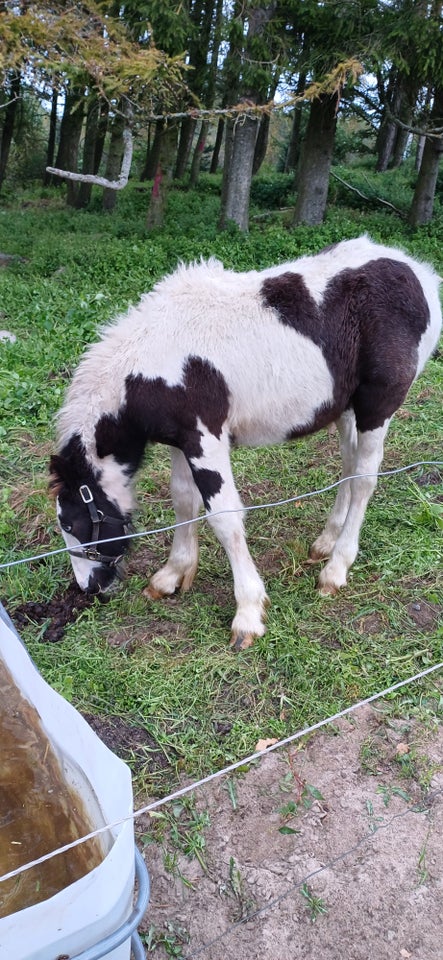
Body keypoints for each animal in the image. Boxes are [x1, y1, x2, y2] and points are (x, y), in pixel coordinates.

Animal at [50, 236, 442, 648]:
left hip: (376, 406)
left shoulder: (206, 439)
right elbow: (183, 500)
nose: (90, 587)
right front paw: (172, 575)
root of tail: (420, 273)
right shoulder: (181, 440)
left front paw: (248, 613)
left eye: (74, 524)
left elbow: (223, 517)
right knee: (349, 469)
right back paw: (326, 542)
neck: (150, 363)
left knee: (365, 479)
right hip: (345, 407)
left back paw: (336, 569)